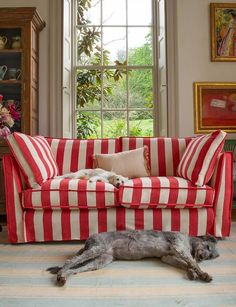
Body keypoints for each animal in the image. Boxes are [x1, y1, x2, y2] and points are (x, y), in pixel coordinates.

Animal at [48, 231, 219, 286]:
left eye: (211, 257)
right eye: (208, 247)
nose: (203, 257)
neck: (190, 242)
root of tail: (88, 240)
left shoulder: (168, 257)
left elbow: (185, 264)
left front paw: (191, 273)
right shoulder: (179, 247)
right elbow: (192, 261)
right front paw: (203, 274)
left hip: (101, 260)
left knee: (78, 268)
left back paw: (64, 276)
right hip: (97, 249)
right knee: (70, 261)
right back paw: (62, 273)